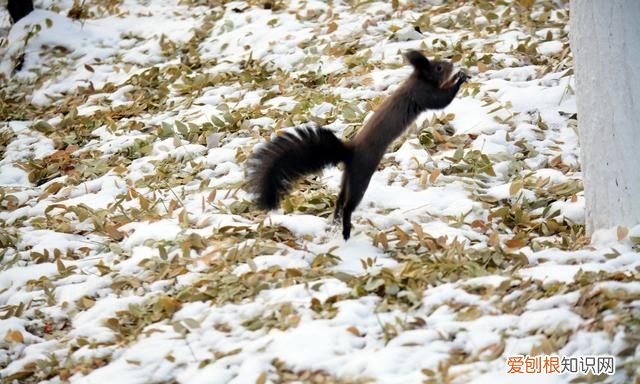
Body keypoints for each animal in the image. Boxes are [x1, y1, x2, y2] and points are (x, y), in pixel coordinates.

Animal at [248, 49, 468, 238]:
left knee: (340, 198)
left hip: (348, 176)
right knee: (349, 204)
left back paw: (336, 221)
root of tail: (349, 152)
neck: (416, 79)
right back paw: (345, 229)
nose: (451, 63)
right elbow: (441, 100)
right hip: (361, 174)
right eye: (438, 67)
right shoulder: (423, 94)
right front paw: (460, 78)